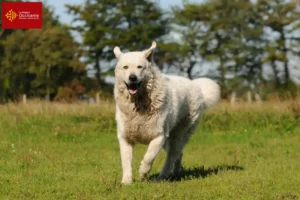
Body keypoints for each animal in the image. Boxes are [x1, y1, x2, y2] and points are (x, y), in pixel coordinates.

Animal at [113, 42, 219, 184]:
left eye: (139, 67)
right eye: (125, 67)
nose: (132, 77)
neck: (139, 104)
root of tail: (196, 86)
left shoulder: (159, 136)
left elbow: (149, 157)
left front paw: (142, 172)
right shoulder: (125, 138)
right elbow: (125, 161)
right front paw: (126, 181)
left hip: (179, 133)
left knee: (172, 156)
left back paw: (162, 176)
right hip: (170, 139)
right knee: (178, 154)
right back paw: (175, 172)